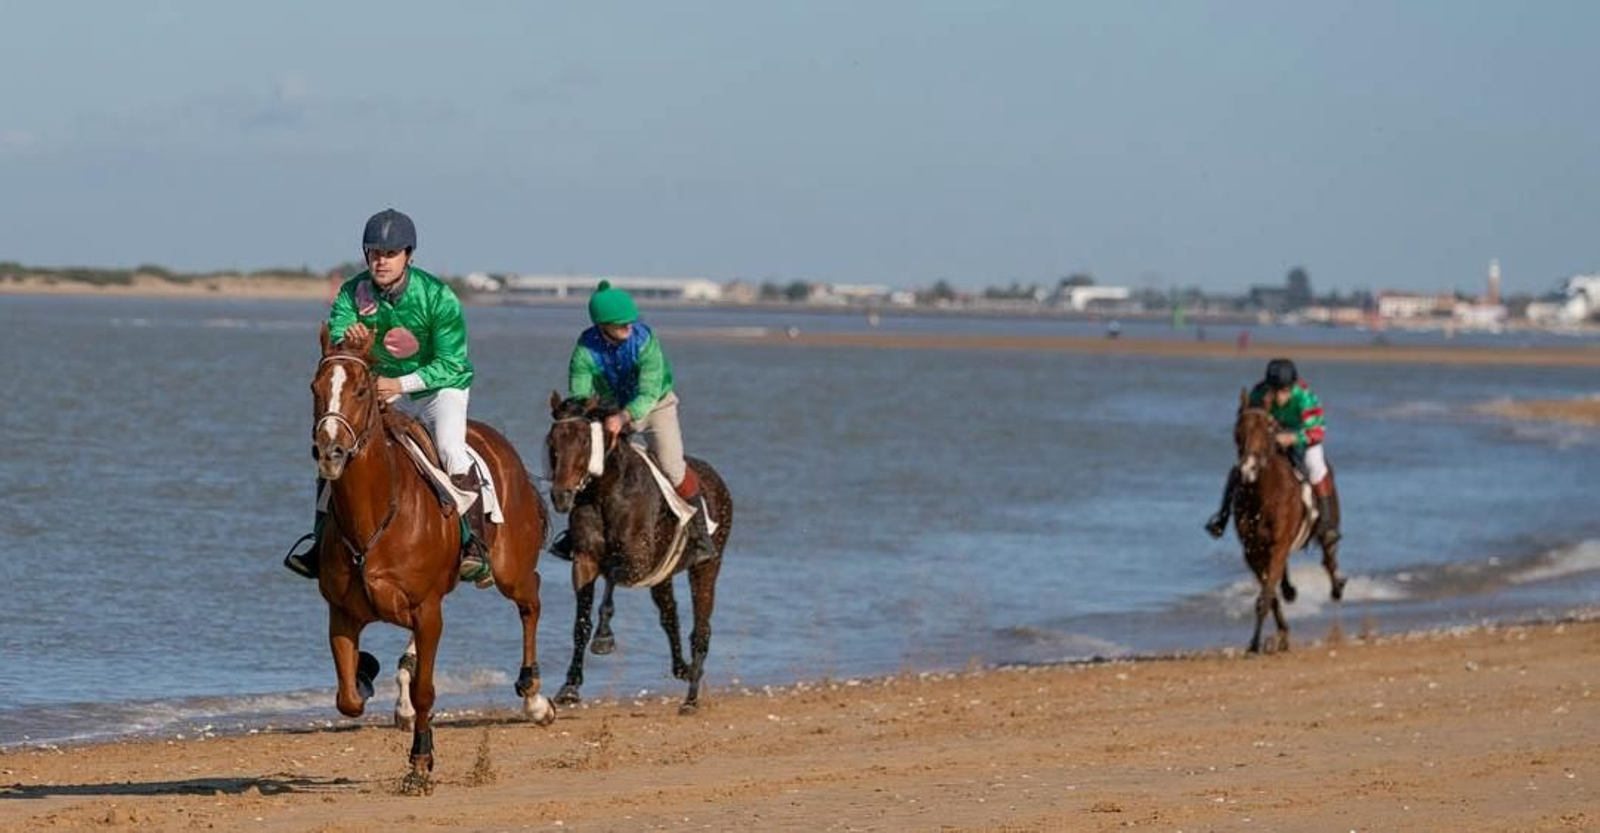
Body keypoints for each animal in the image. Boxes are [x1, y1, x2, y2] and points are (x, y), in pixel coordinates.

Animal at [309, 324, 555, 789]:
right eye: (315, 387)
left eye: (362, 390)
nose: (330, 452)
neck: (374, 518)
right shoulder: (342, 612)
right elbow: (348, 696)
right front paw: (366, 673)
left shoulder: (426, 608)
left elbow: (426, 689)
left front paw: (420, 762)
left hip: (510, 568)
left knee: (530, 600)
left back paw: (534, 698)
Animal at [543, 393, 733, 715]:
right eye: (552, 440)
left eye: (585, 440)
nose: (561, 496)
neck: (606, 491)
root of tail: (718, 480)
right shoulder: (584, 561)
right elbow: (581, 623)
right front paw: (569, 687)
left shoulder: (637, 563)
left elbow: (611, 577)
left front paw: (604, 638)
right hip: (663, 574)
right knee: (670, 616)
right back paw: (682, 669)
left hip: (707, 566)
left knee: (701, 631)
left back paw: (691, 698)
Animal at [1231, 390, 1348, 653]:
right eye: (1238, 430)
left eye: (1268, 429)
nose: (1248, 469)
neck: (1263, 496)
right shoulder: (1252, 551)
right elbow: (1269, 594)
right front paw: (1279, 635)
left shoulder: (1279, 544)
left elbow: (1266, 595)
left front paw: (1255, 644)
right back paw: (1290, 590)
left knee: (1329, 554)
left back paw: (1337, 586)